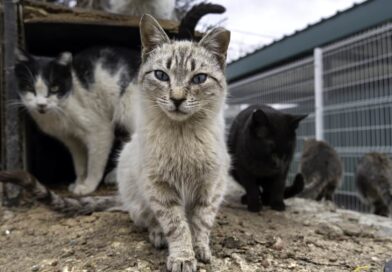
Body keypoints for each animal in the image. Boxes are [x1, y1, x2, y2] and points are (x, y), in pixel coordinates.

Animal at [14, 47, 141, 196]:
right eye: (29, 88)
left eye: (54, 88)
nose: (41, 105)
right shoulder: (72, 140)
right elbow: (79, 164)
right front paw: (78, 182)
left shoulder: (100, 131)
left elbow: (94, 164)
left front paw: (88, 186)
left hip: (128, 112)